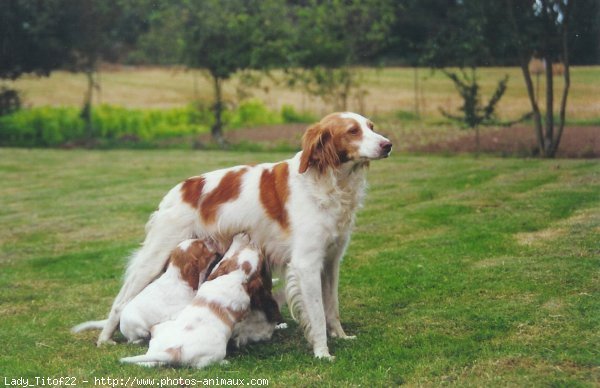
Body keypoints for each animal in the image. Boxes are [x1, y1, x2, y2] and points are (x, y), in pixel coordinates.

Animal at [98, 110, 392, 360]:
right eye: (353, 131)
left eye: (371, 126)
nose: (388, 145)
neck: (327, 181)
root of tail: (181, 189)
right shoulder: (306, 264)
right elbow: (318, 314)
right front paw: (322, 352)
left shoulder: (330, 261)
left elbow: (332, 307)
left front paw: (340, 336)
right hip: (155, 257)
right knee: (120, 301)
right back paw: (104, 339)